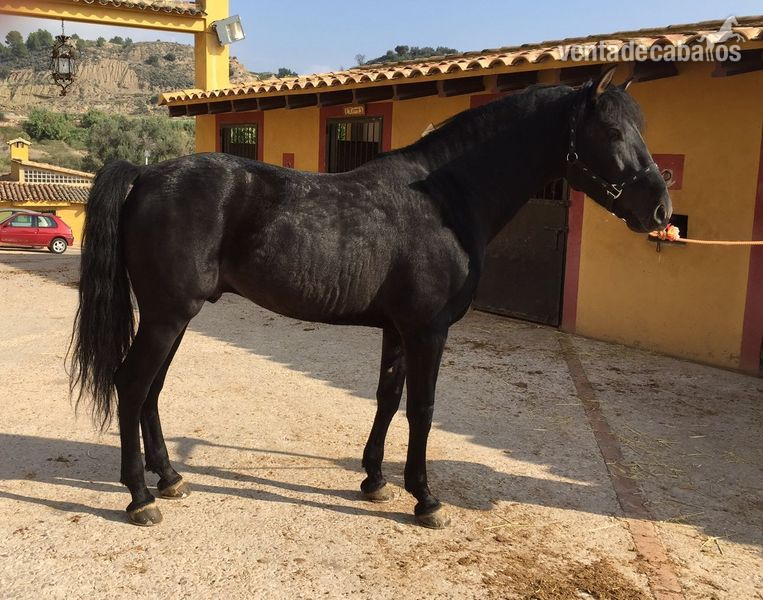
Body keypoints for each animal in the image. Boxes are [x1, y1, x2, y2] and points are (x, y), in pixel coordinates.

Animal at [70, 66, 671, 528]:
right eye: (612, 131)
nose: (660, 210)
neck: (444, 200)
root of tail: (146, 173)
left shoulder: (398, 329)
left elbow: (387, 399)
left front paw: (375, 480)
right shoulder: (429, 330)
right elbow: (423, 409)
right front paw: (425, 498)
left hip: (173, 316)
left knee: (151, 389)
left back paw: (170, 478)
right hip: (167, 315)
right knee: (132, 384)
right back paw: (140, 498)